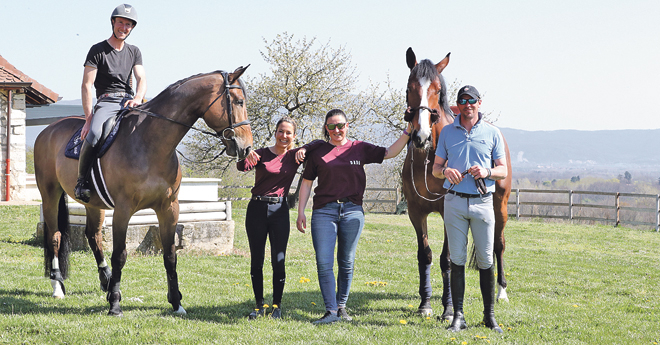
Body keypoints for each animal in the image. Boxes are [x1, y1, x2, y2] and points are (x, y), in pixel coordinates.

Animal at [32, 66, 253, 316]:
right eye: (238, 101)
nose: (246, 147)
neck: (151, 143)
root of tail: (48, 130)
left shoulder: (169, 208)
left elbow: (170, 255)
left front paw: (176, 303)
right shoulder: (123, 210)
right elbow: (120, 255)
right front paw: (115, 304)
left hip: (93, 203)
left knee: (93, 236)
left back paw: (106, 281)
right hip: (50, 194)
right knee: (55, 237)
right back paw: (58, 286)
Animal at [400, 48, 512, 320]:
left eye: (438, 89)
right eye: (410, 87)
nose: (421, 136)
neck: (429, 158)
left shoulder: (448, 211)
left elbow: (448, 259)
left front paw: (449, 309)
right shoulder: (415, 212)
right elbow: (425, 255)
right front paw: (425, 303)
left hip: (500, 207)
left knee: (499, 244)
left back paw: (501, 291)